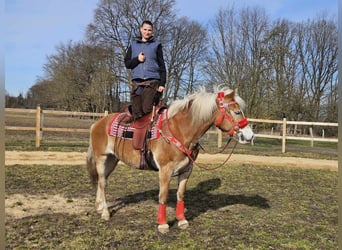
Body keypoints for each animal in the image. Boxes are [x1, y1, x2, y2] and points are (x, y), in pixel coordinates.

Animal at [87, 86, 255, 232]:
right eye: (237, 111)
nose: (249, 135)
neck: (179, 130)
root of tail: (97, 124)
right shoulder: (165, 170)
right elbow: (163, 196)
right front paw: (162, 224)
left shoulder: (187, 170)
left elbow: (180, 195)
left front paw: (182, 220)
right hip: (102, 158)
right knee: (102, 183)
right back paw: (105, 212)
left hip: (112, 160)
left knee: (102, 181)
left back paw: (99, 207)